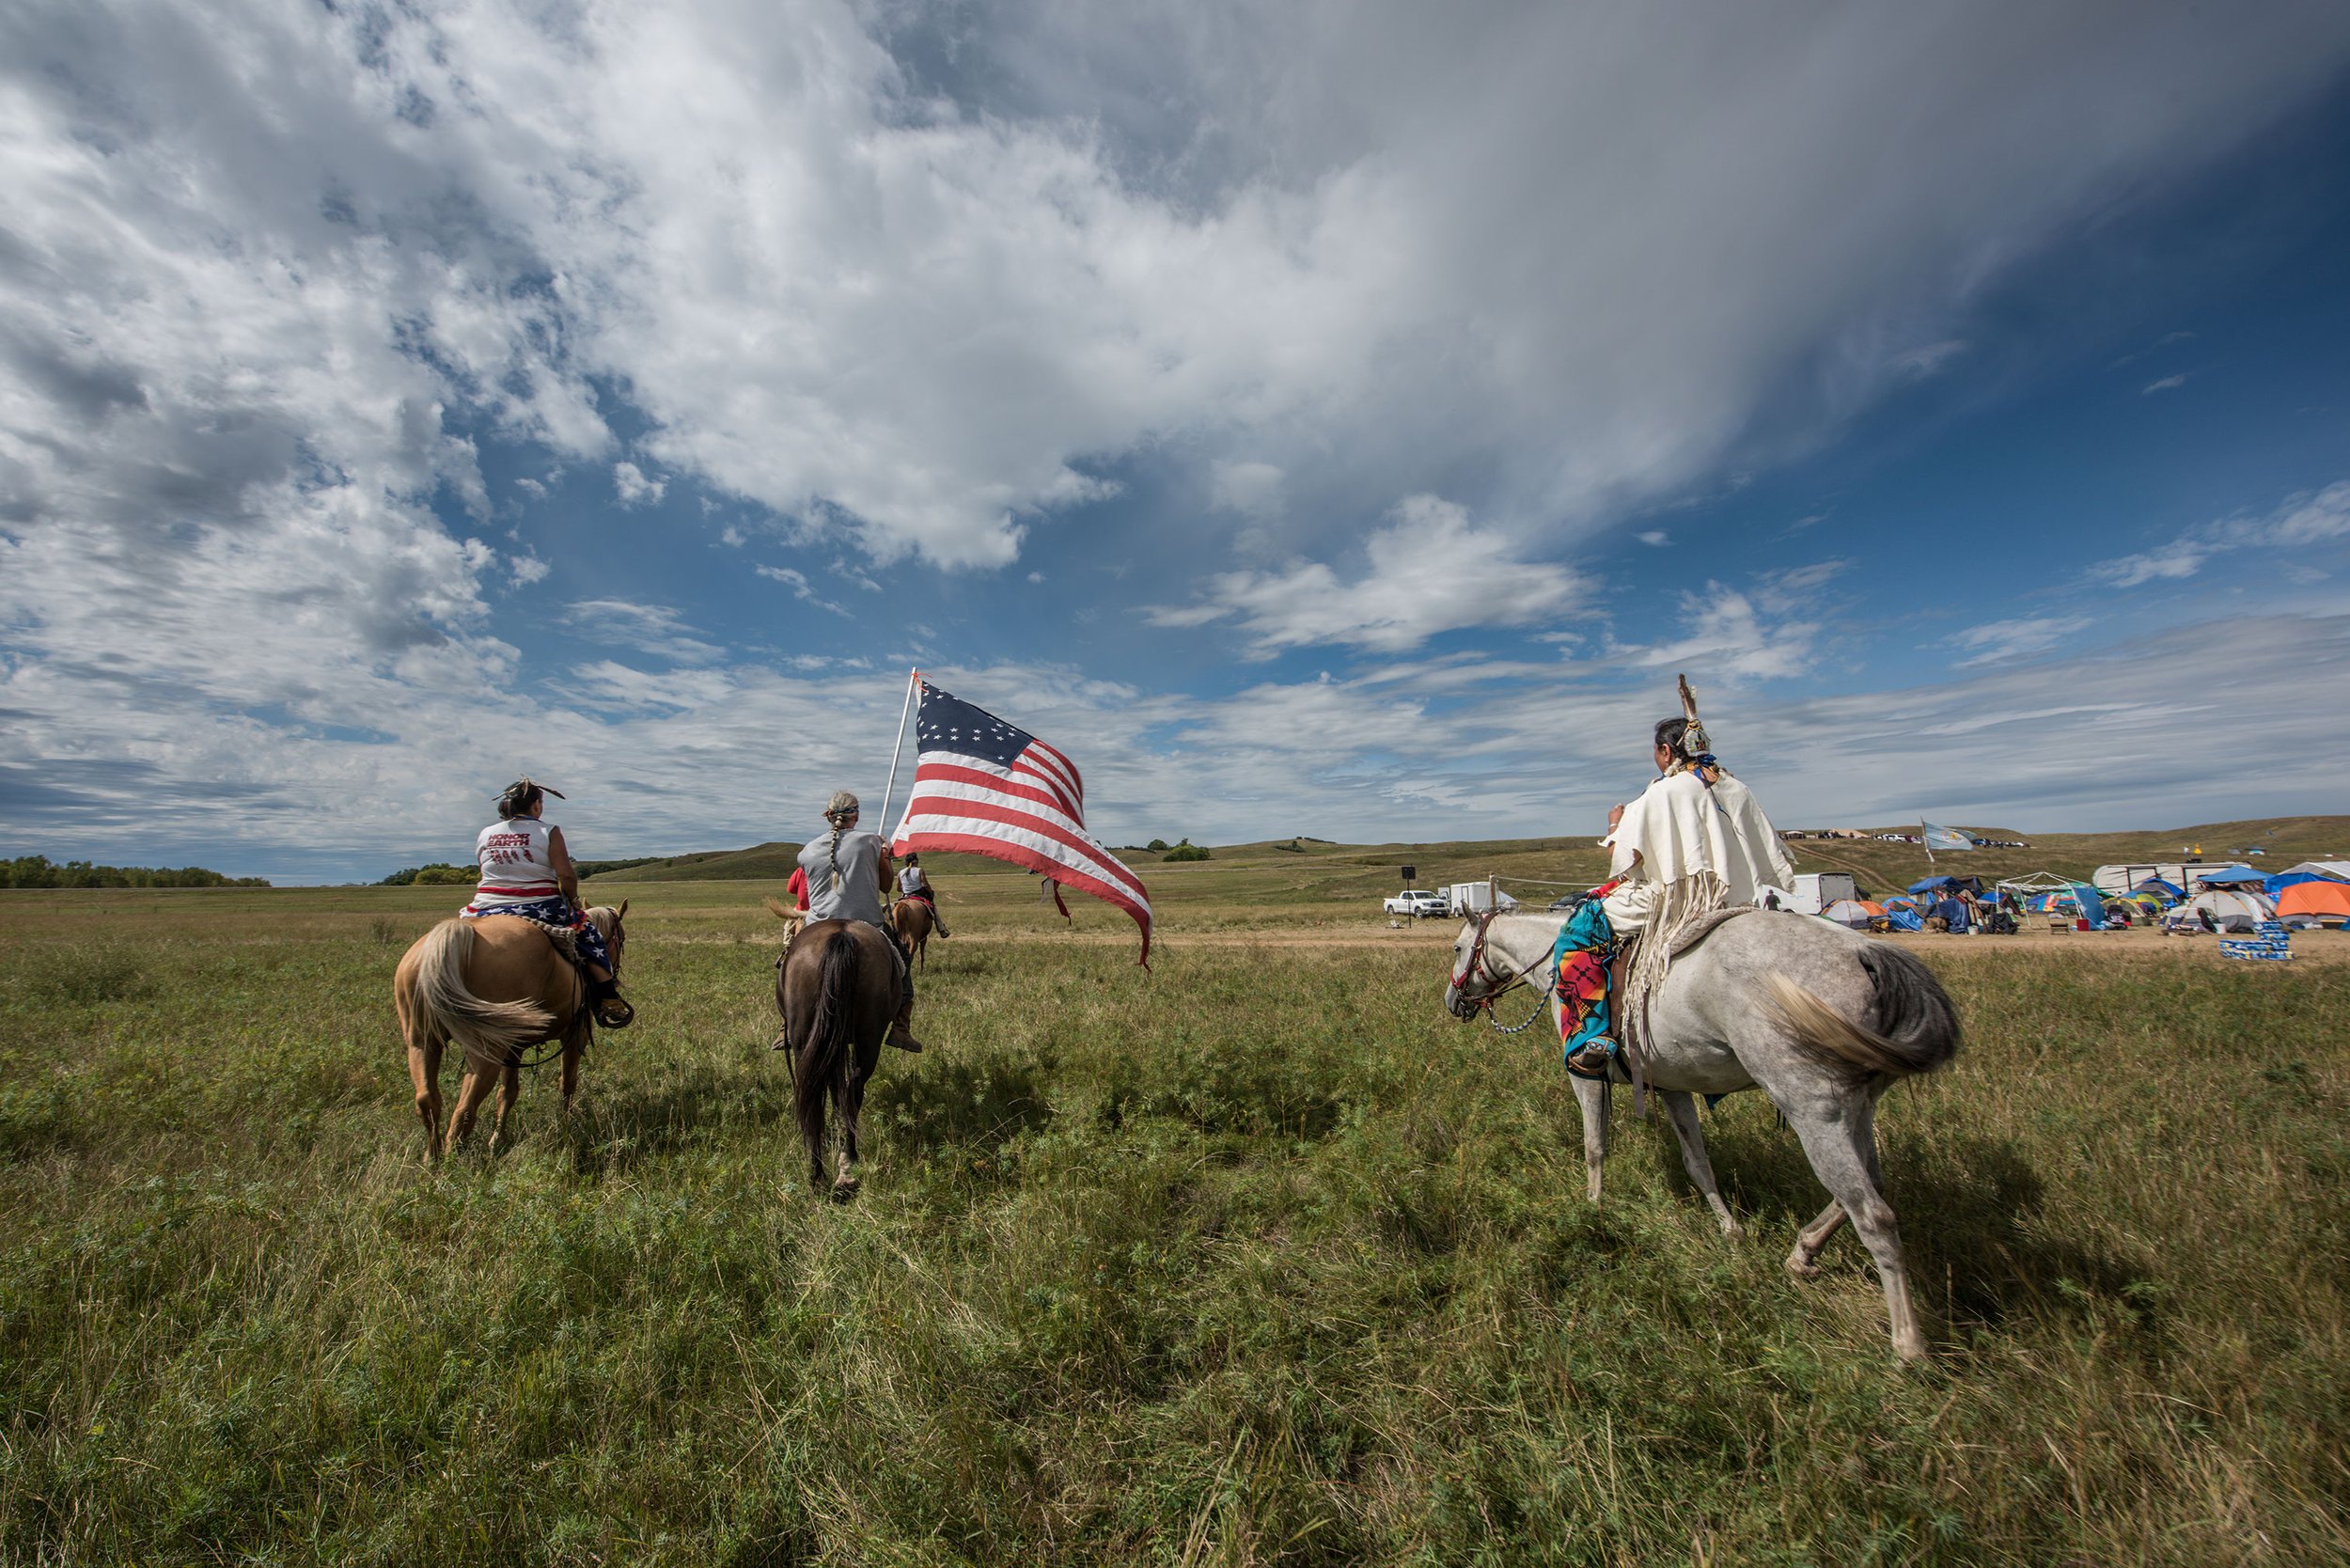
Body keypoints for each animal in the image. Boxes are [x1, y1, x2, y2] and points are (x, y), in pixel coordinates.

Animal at [397, 902, 634, 1161]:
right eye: (621, 938)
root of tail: (457, 934)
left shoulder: (515, 1048)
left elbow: (508, 1093)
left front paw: (497, 1141)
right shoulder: (575, 1035)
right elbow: (567, 1082)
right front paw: (567, 1122)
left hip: (422, 1041)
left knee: (427, 1100)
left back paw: (431, 1159)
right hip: (487, 1049)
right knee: (465, 1108)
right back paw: (452, 1162)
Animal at [771, 921, 898, 1203]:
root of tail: (841, 935)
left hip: (814, 1039)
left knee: (821, 1097)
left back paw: (828, 1172)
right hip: (865, 1037)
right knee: (845, 1093)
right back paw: (838, 1172)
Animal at [1448, 907, 1965, 1363]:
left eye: (1457, 948)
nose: (1453, 1003)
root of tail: (1864, 950)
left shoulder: (1584, 1075)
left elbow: (1595, 1147)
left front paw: (1591, 1210)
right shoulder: (1672, 1085)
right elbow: (1698, 1163)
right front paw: (1730, 1230)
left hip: (1813, 1108)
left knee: (1873, 1214)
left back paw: (1907, 1347)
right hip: (1858, 1107)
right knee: (1865, 1189)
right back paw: (1803, 1254)